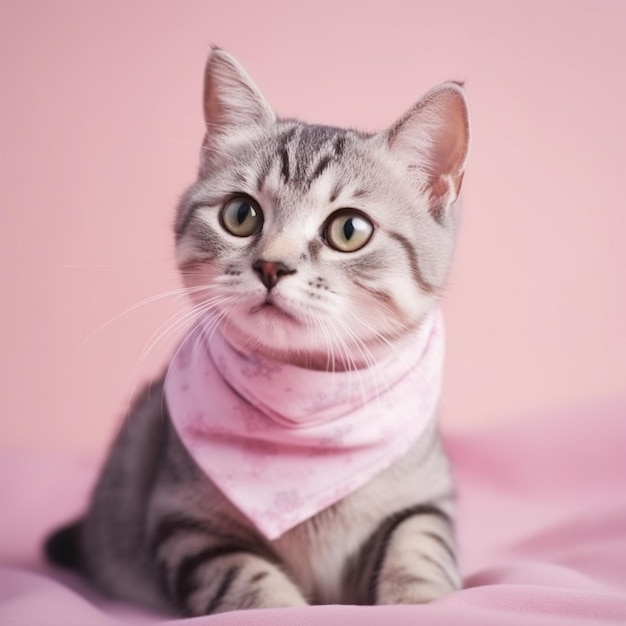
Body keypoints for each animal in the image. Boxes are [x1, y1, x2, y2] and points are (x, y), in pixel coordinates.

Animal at [45, 48, 468, 616]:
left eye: (349, 229)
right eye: (241, 214)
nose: (271, 266)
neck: (306, 410)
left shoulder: (425, 501)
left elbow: (421, 549)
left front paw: (424, 604)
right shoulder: (187, 526)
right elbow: (250, 585)